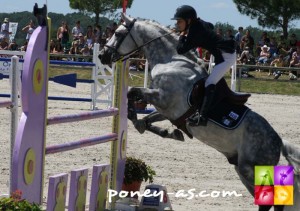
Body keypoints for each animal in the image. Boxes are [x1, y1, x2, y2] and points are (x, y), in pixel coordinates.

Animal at [99, 13, 300, 211]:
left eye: (117, 34)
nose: (102, 56)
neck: (170, 61)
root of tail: (278, 142)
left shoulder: (162, 98)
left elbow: (132, 92)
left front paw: (144, 122)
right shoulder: (170, 111)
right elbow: (146, 118)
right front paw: (168, 132)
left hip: (250, 168)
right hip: (242, 169)